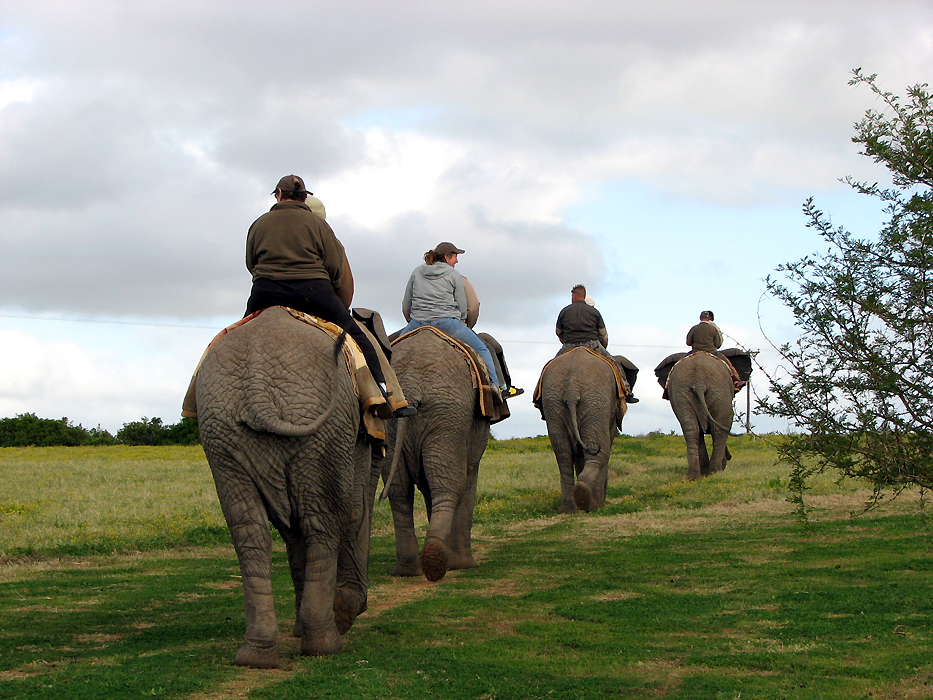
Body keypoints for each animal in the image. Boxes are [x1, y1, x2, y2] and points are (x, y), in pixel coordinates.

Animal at [196, 306, 379, 667]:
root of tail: (256, 376)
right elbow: (354, 509)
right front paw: (346, 612)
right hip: (323, 425)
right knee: (324, 521)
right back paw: (325, 642)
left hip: (222, 430)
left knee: (250, 530)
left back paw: (256, 655)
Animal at [381, 327, 505, 582]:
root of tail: (409, 383)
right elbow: (468, 481)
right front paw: (463, 565)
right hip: (449, 415)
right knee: (449, 485)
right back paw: (438, 562)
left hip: (401, 420)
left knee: (400, 490)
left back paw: (410, 570)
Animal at [535, 347, 629, 514]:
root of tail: (571, 389)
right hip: (596, 402)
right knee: (599, 450)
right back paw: (590, 503)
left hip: (553, 402)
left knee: (563, 454)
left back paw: (569, 508)